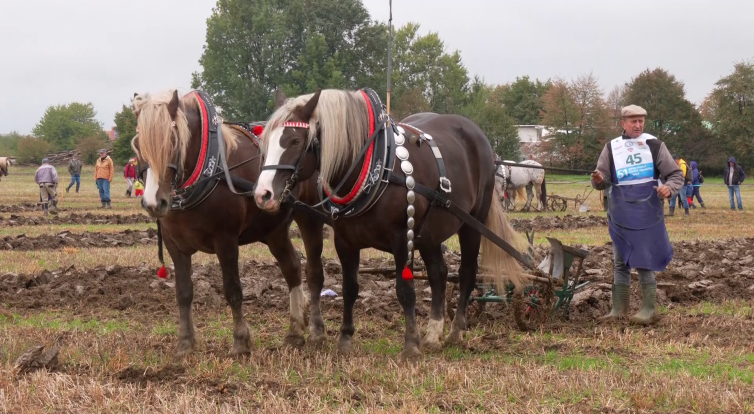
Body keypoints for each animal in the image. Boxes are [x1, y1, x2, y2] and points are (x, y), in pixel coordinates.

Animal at [131, 90, 324, 356]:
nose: (153, 202)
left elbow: (233, 290)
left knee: (313, 271)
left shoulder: (226, 240)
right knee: (292, 267)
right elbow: (183, 292)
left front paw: (240, 342)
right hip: (274, 229)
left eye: (173, 141)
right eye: (138, 144)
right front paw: (185, 343)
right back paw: (295, 332)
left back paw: (315, 329)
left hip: (310, 218)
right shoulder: (174, 245)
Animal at [253, 88, 524, 360]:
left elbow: (405, 290)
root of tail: (475, 131)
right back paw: (433, 334)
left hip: (473, 222)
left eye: (295, 141)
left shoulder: (402, 238)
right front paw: (344, 339)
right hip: (430, 233)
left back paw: (455, 333)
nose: (263, 194)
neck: (376, 166)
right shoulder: (345, 241)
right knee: (438, 273)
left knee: (467, 273)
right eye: (265, 141)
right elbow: (349, 288)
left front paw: (411, 345)